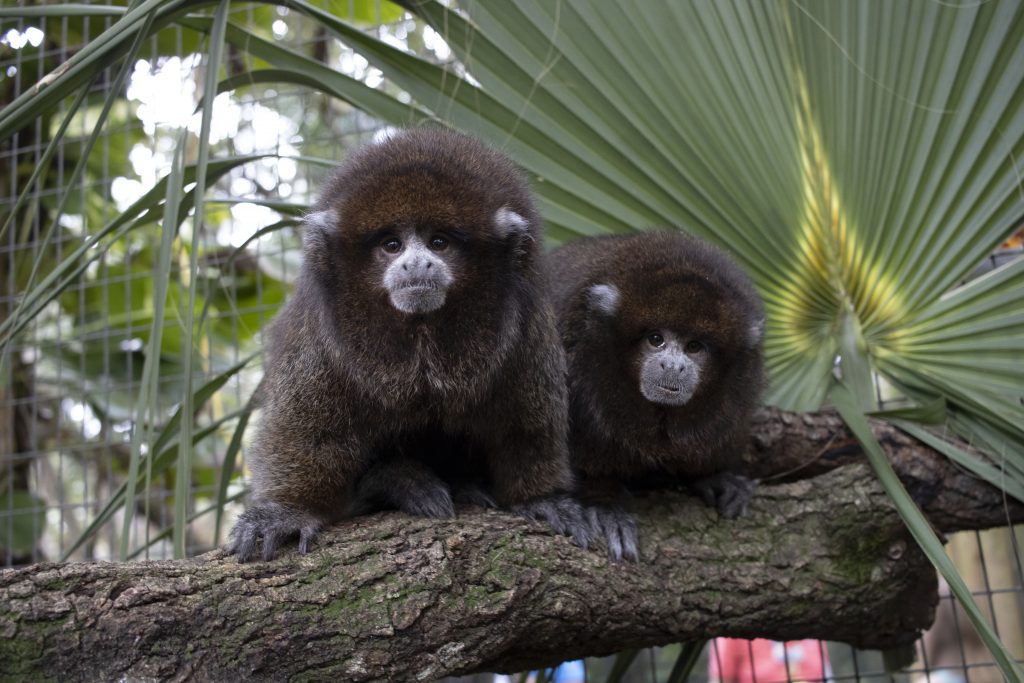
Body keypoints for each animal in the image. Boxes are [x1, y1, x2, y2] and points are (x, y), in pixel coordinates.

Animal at [230, 128, 590, 562]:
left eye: (438, 242)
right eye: (392, 245)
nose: (416, 263)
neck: (421, 336)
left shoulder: (525, 326)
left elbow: (525, 423)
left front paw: (540, 497)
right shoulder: (321, 336)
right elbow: (309, 431)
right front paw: (287, 511)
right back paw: (395, 481)